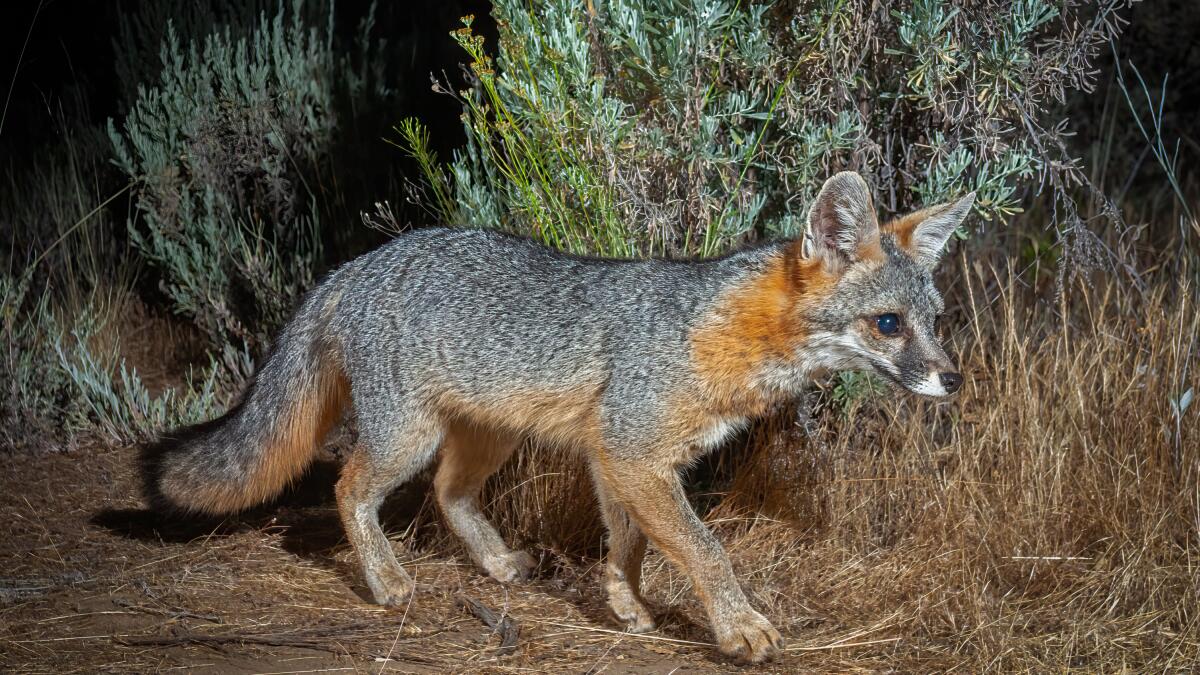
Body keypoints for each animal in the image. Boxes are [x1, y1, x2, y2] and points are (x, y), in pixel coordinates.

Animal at [142, 170, 974, 658]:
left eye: (934, 319)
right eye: (889, 324)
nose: (954, 377)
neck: (722, 331)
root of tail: (357, 263)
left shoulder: (620, 458)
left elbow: (630, 542)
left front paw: (625, 602)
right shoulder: (635, 452)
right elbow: (705, 548)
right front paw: (739, 627)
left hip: (488, 436)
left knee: (448, 492)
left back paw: (497, 563)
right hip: (407, 436)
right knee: (350, 487)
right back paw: (385, 581)